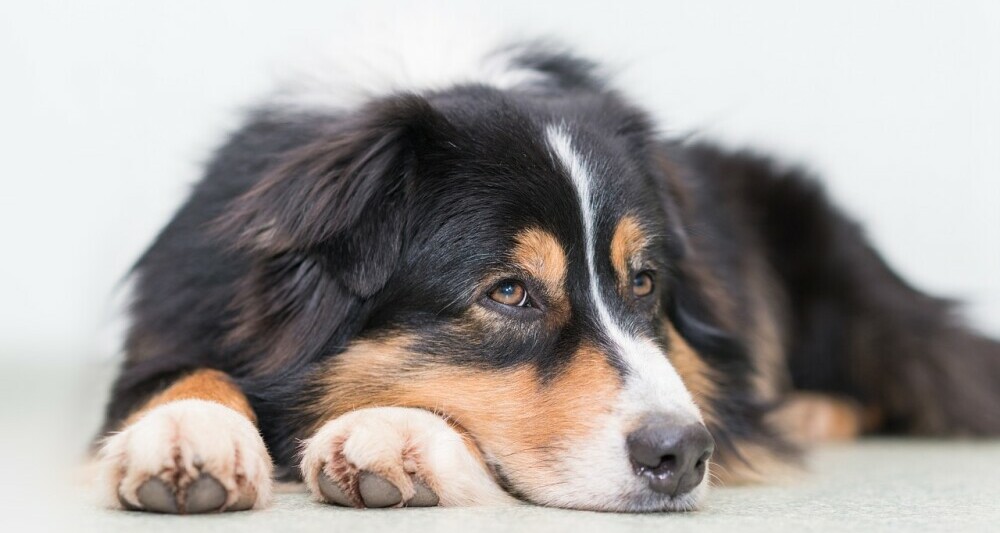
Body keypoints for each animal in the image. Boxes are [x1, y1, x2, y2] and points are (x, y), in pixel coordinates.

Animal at [95, 39, 1000, 512]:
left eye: (644, 282)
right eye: (509, 292)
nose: (682, 454)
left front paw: (392, 433)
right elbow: (177, 375)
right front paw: (187, 433)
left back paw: (808, 408)